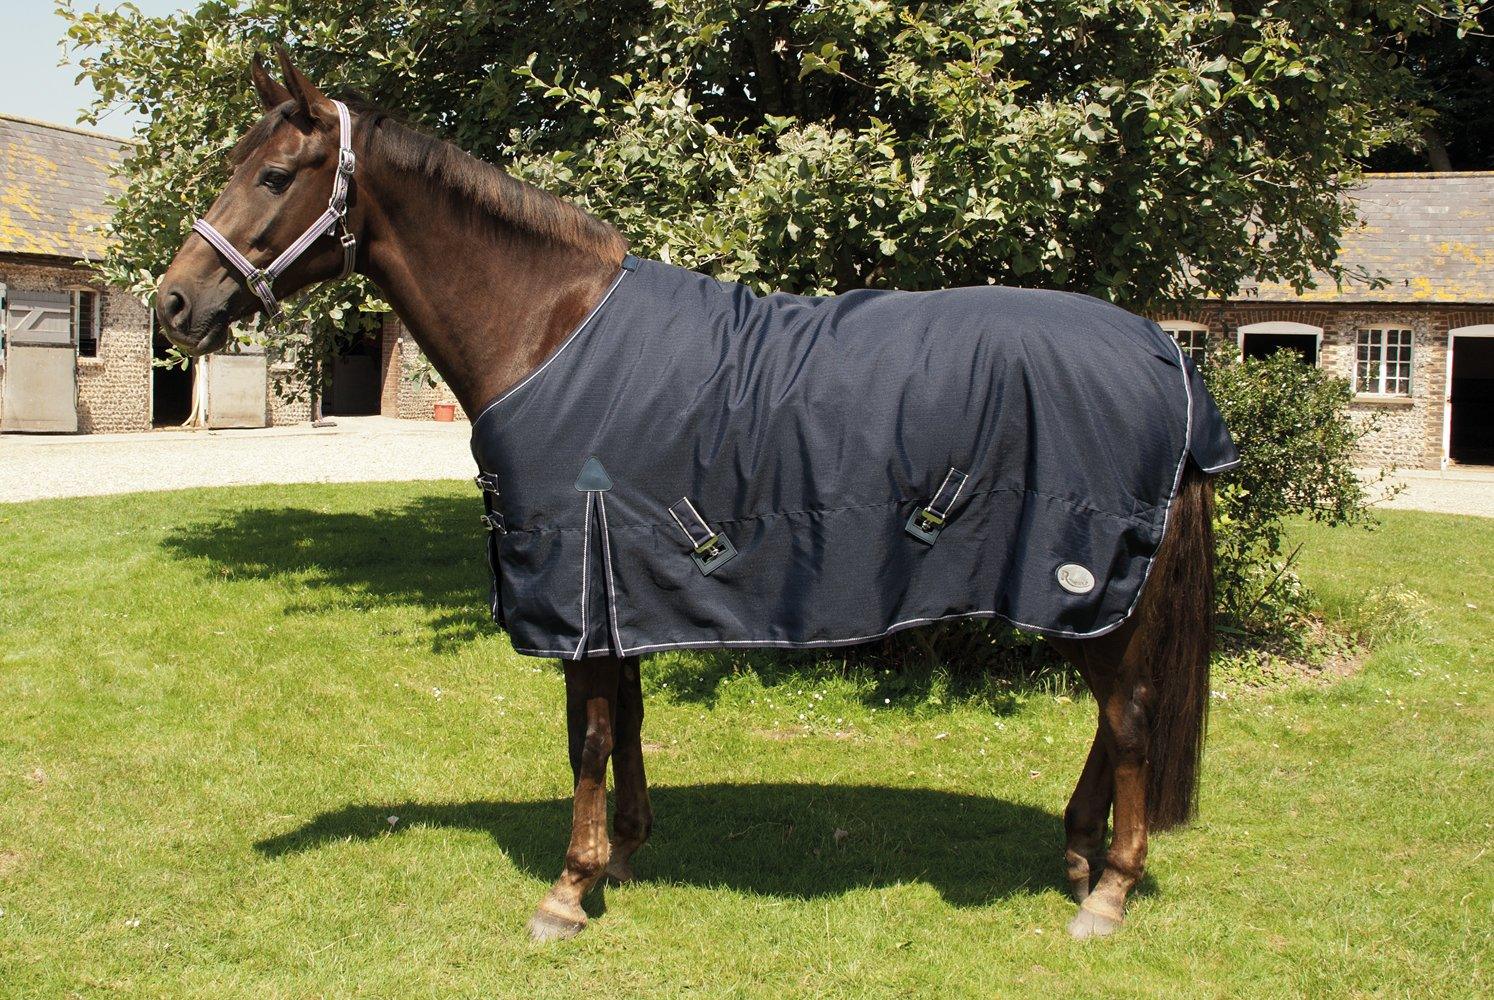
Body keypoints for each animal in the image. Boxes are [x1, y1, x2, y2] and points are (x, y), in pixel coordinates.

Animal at [155, 51, 1224, 943]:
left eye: (274, 176)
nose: (173, 304)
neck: (549, 330)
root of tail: (1166, 354)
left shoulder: (578, 578)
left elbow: (587, 737)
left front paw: (568, 889)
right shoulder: (616, 585)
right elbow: (623, 722)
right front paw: (624, 854)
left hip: (1085, 585)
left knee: (1130, 722)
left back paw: (1109, 892)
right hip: (1091, 605)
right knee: (1113, 724)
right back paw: (1079, 855)